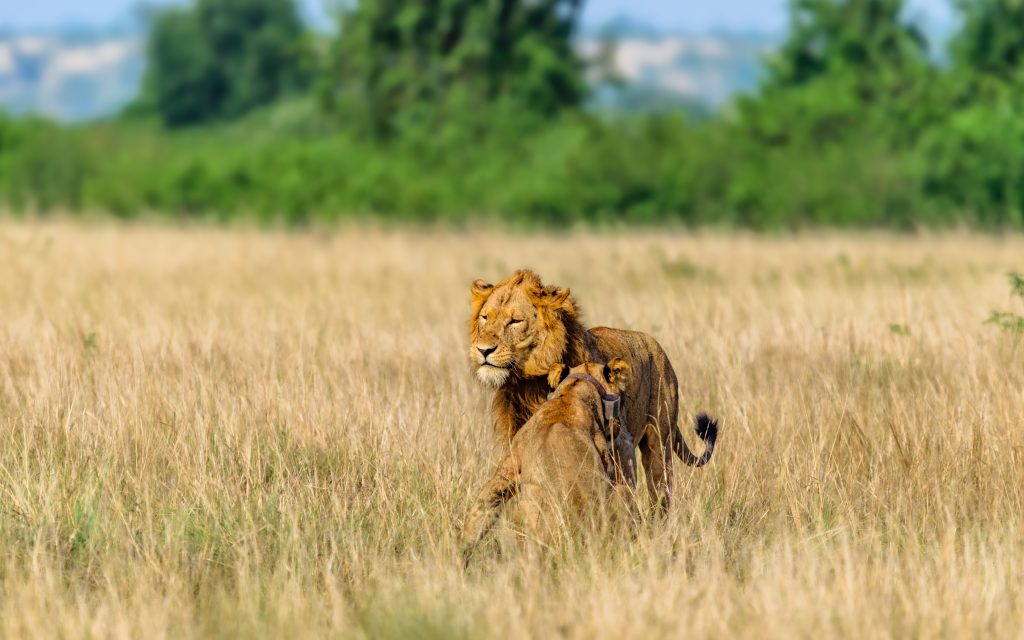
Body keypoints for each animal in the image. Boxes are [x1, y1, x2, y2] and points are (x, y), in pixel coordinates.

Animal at [468, 269, 718, 510]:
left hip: (659, 441)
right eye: (485, 317)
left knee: (660, 493)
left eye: (515, 321)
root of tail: (656, 345)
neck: (528, 383)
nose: (483, 350)